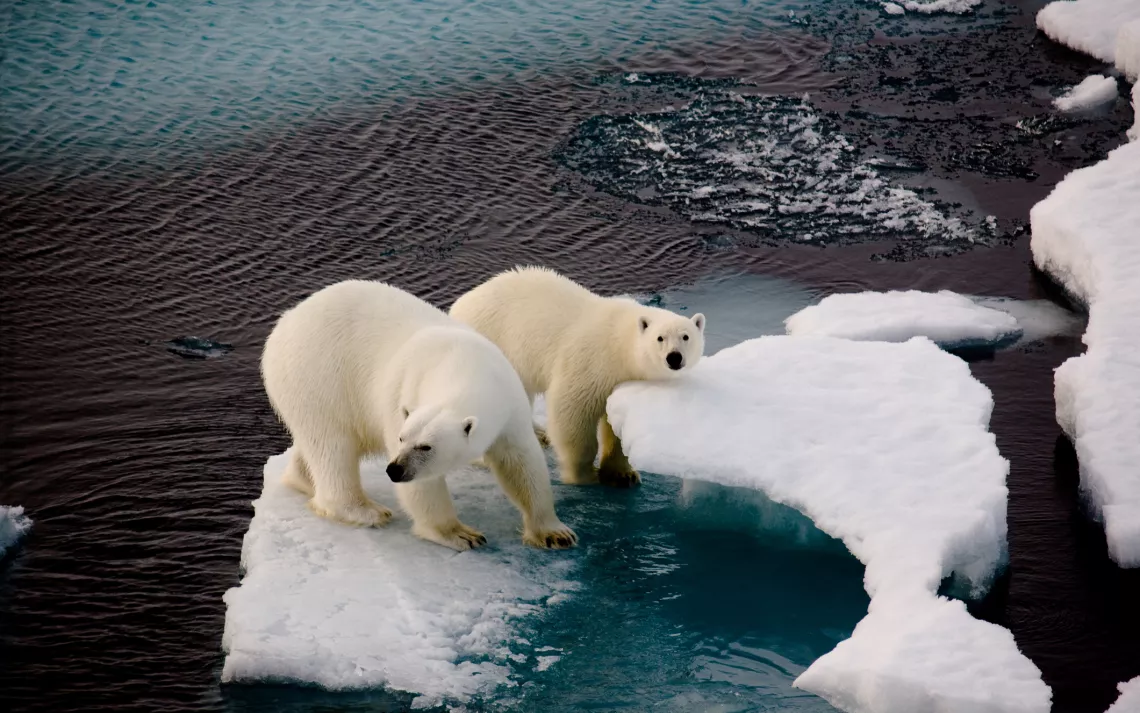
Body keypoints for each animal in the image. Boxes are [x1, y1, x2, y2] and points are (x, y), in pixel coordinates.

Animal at [261, 280, 577, 551]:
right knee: (333, 445)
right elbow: (424, 488)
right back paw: (366, 511)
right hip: (318, 376)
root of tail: (284, 322)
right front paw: (460, 534)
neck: (464, 364)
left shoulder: (509, 402)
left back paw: (303, 479)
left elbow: (521, 462)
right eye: (402, 439)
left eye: (426, 446)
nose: (394, 470)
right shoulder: (403, 392)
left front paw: (555, 533)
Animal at [449, 267, 705, 487]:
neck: (619, 343)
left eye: (686, 336)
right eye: (660, 338)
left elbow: (616, 424)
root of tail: (457, 307)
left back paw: (538, 434)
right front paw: (583, 475)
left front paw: (623, 474)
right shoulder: (590, 362)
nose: (674, 358)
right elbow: (572, 413)